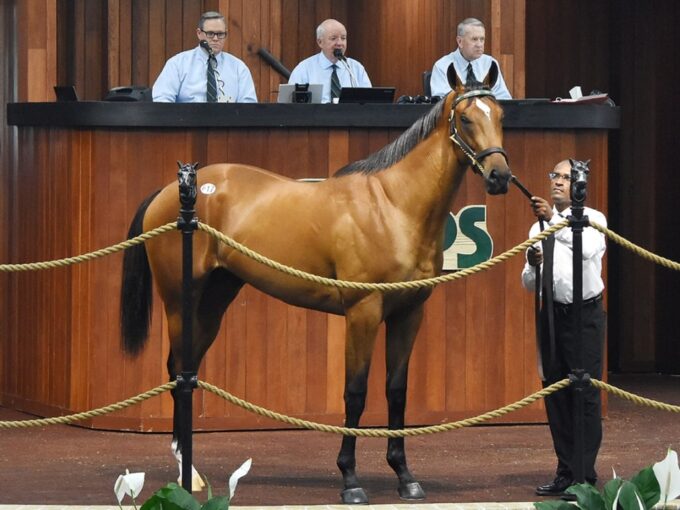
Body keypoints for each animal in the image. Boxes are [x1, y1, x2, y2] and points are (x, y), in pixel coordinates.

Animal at [119, 62, 510, 502]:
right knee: (178, 371)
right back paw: (186, 472)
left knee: (186, 369)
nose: (500, 176)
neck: (393, 207)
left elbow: (396, 391)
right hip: (179, 301)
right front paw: (350, 479)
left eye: (500, 116)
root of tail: (174, 190)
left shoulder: (409, 313)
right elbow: (355, 393)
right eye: (466, 119)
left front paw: (404, 475)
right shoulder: (362, 313)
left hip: (214, 301)